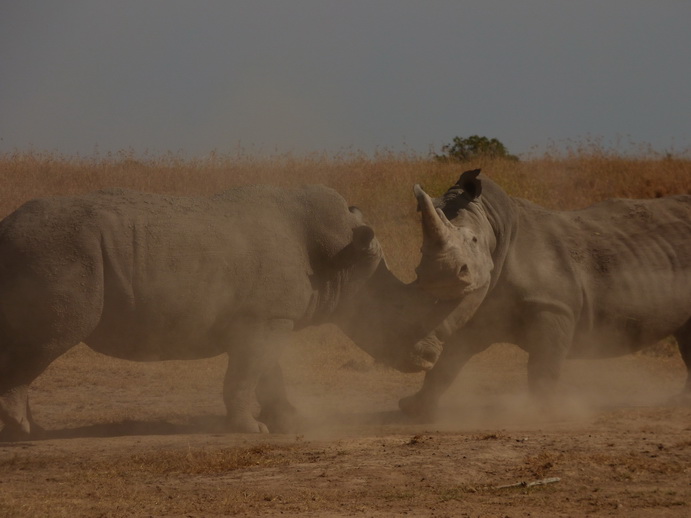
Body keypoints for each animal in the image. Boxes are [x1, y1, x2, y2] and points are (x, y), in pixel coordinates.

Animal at [0, 185, 454, 440]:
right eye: (397, 310)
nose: (432, 355)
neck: (341, 257)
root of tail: (5, 226)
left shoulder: (271, 318)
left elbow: (268, 373)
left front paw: (289, 421)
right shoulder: (265, 319)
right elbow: (244, 375)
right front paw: (251, 430)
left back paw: (33, 431)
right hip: (55, 251)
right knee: (44, 341)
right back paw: (22, 432)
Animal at [400, 171, 691, 422]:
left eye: (473, 240)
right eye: (422, 249)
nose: (440, 277)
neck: (496, 224)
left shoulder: (552, 305)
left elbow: (543, 364)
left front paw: (539, 412)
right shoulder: (484, 306)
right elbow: (449, 361)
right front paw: (415, 408)